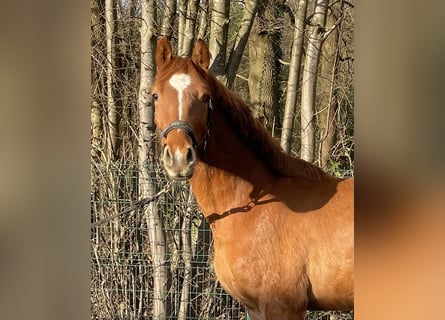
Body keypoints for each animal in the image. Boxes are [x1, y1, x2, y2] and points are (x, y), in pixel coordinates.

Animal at [151, 37, 352, 320]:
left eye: (205, 97)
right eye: (155, 95)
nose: (180, 158)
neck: (252, 208)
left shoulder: (283, 308)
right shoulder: (255, 309)